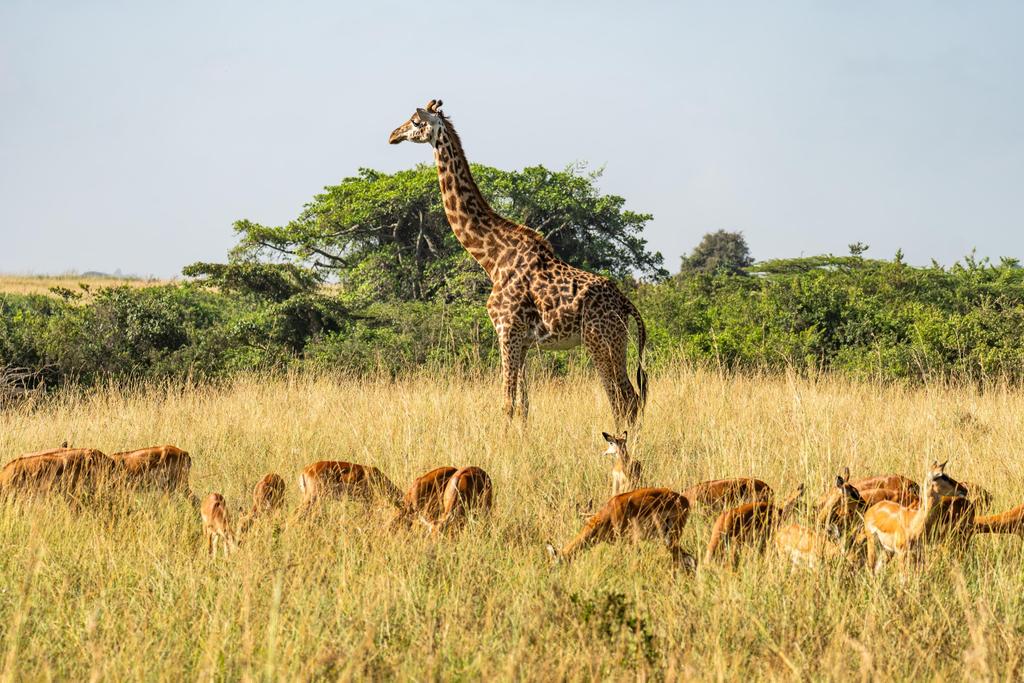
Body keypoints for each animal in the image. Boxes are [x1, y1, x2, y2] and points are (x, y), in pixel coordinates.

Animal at [389, 99, 648, 425]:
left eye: (414, 121)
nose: (392, 135)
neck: (492, 257)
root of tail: (626, 303)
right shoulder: (523, 341)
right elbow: (524, 406)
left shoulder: (506, 331)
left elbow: (507, 404)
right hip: (614, 342)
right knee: (629, 400)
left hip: (601, 341)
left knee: (624, 400)